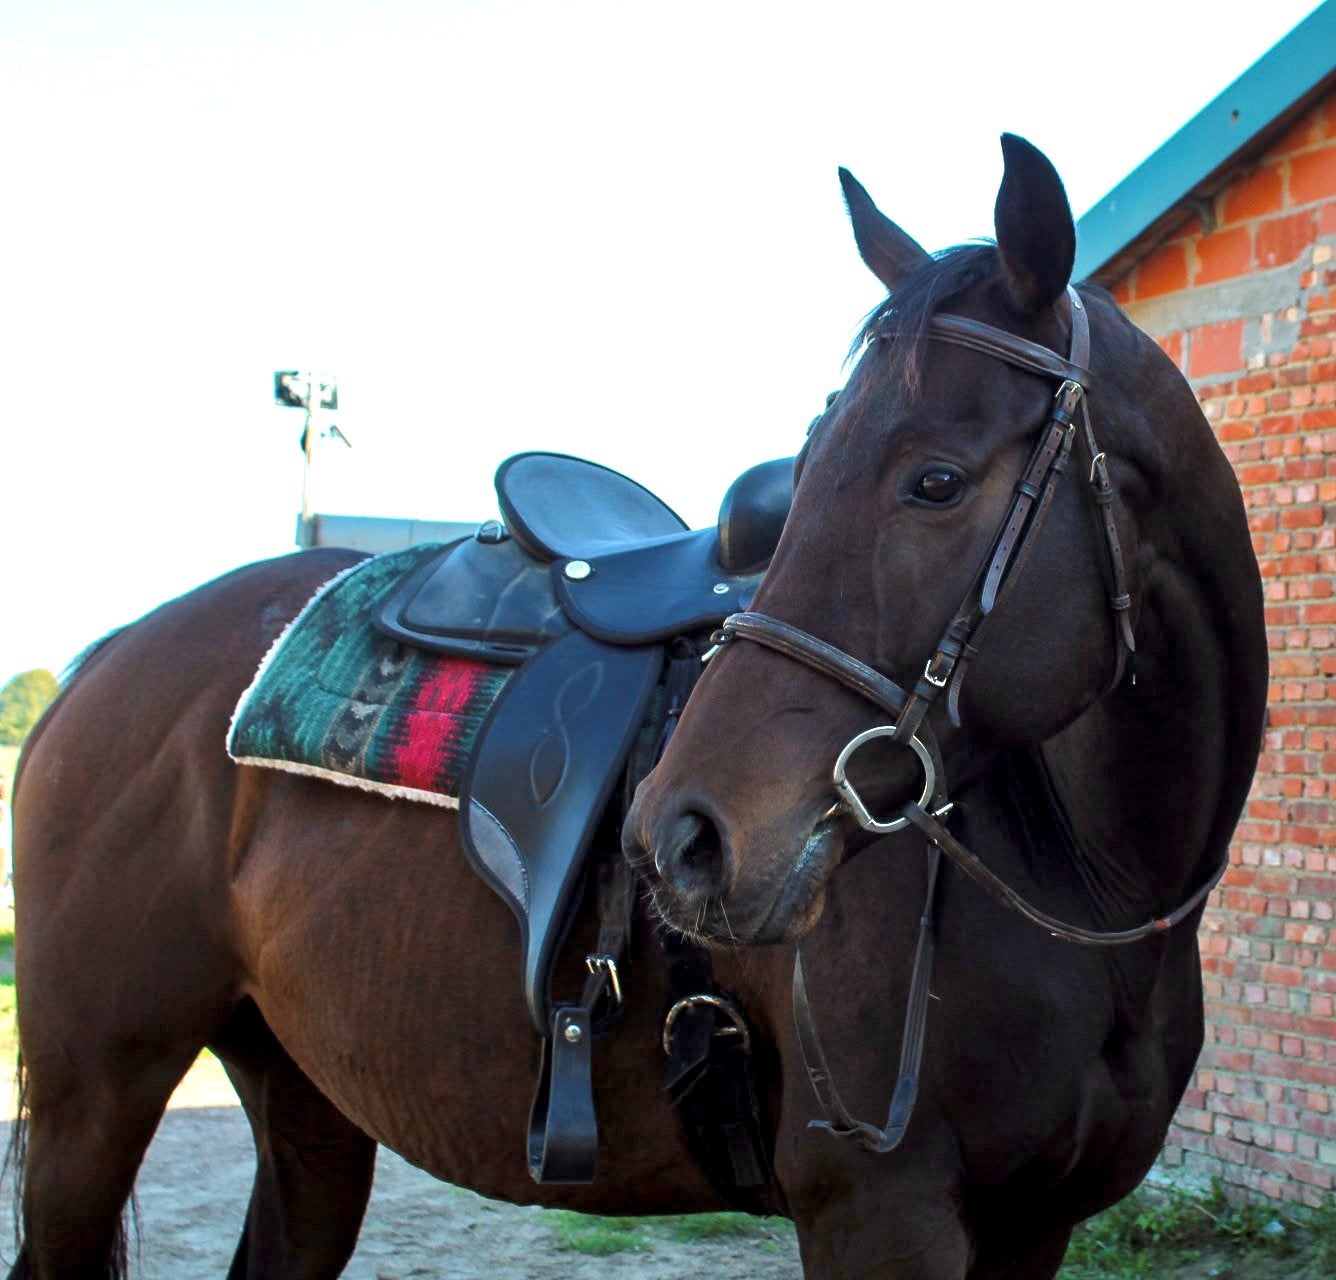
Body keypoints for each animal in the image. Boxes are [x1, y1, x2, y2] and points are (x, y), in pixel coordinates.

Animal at [6, 133, 1265, 1280]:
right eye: (801, 472)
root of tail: (107, 660)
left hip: (303, 1099)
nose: (682, 836)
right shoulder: (877, 1212)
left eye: (937, 480)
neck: (1089, 882)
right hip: (91, 1097)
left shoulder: (1034, 1226)